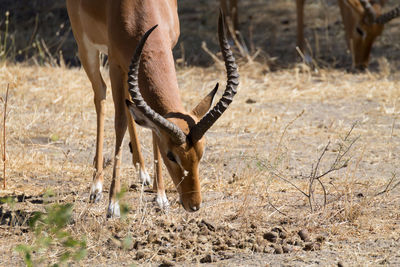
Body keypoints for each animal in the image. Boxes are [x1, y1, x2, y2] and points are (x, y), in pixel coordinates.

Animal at [67, 0, 239, 218]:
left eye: (201, 153)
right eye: (171, 155)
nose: (194, 205)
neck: (140, 11)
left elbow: (154, 129)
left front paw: (161, 197)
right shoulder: (115, 63)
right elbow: (120, 123)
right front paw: (113, 205)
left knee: (129, 104)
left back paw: (143, 173)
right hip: (86, 48)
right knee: (101, 95)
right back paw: (96, 187)